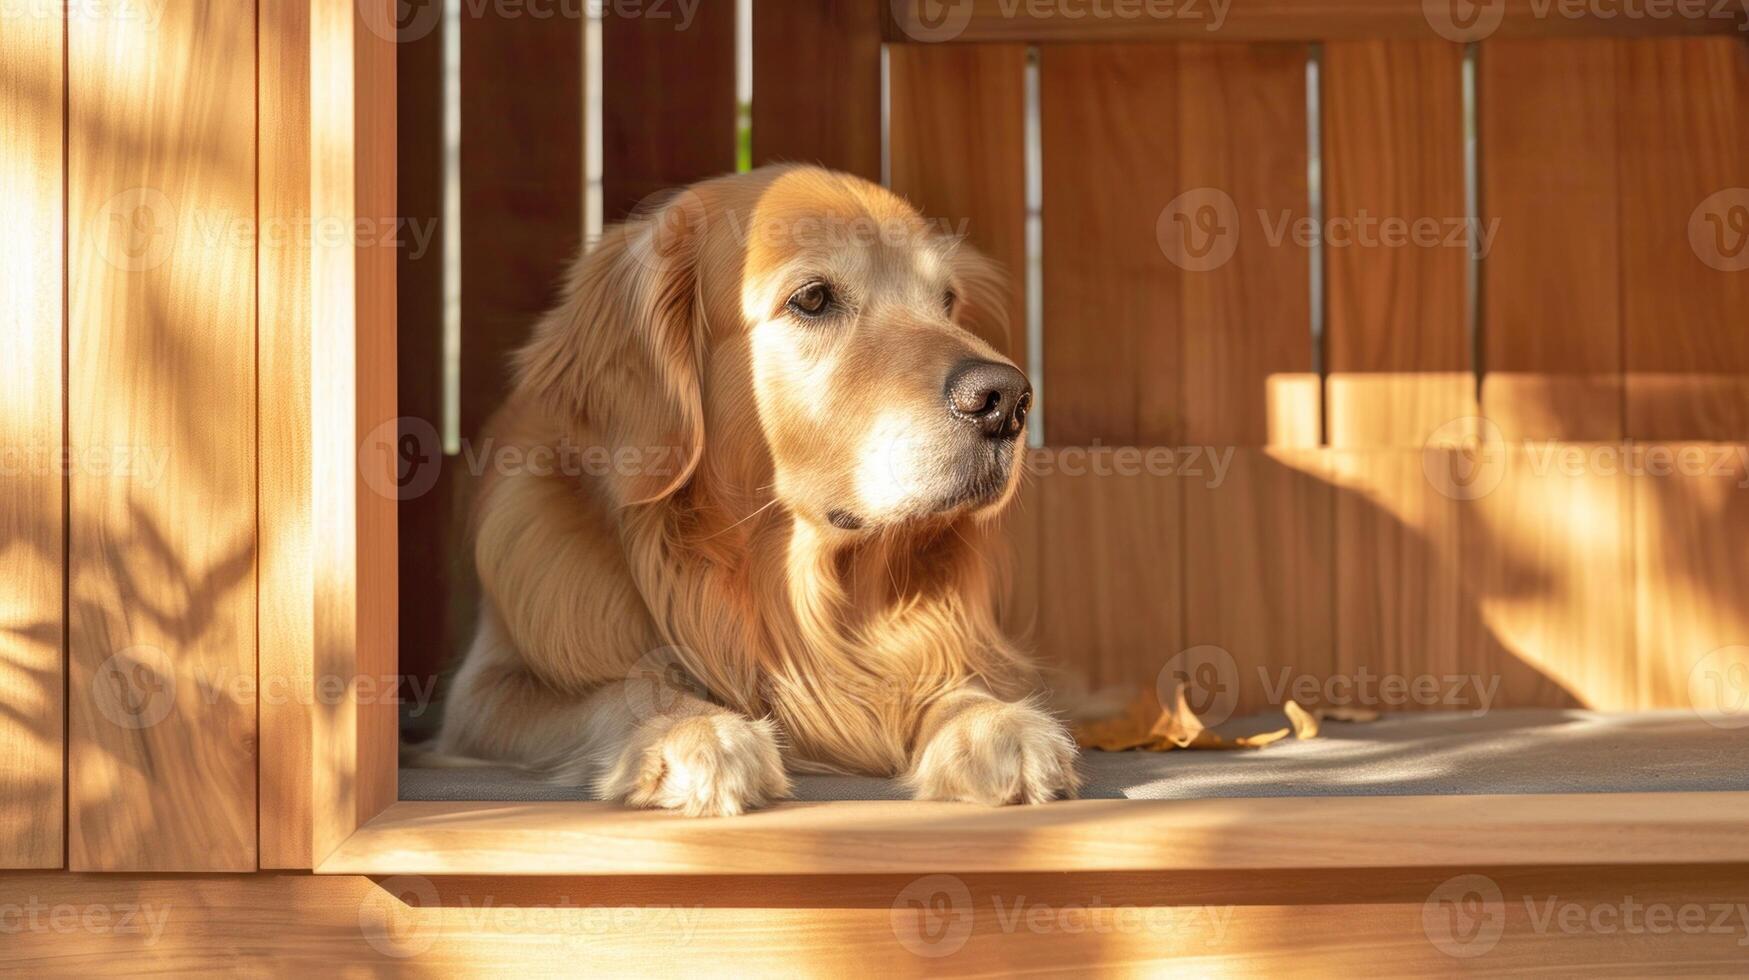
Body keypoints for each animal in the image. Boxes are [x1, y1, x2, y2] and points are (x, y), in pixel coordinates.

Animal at [426, 164, 1077, 815]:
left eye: (946, 302)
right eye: (812, 298)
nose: (1007, 400)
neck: (777, 587)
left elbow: (944, 680)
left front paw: (988, 721)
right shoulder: (483, 694)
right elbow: (621, 687)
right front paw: (691, 729)